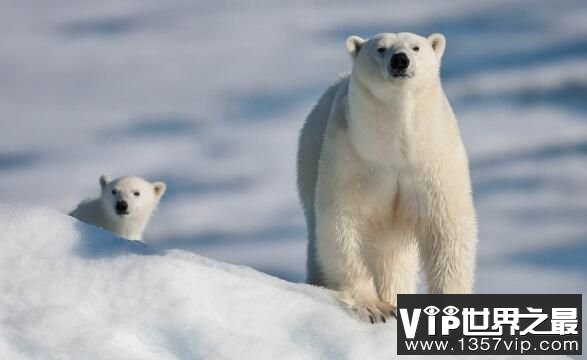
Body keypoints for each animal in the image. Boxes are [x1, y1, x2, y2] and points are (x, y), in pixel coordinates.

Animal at [298, 32, 478, 322]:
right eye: (380, 49)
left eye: (416, 47)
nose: (400, 60)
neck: (395, 150)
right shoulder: (353, 157)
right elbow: (343, 222)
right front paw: (374, 307)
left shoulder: (432, 161)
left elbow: (446, 228)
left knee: (394, 256)